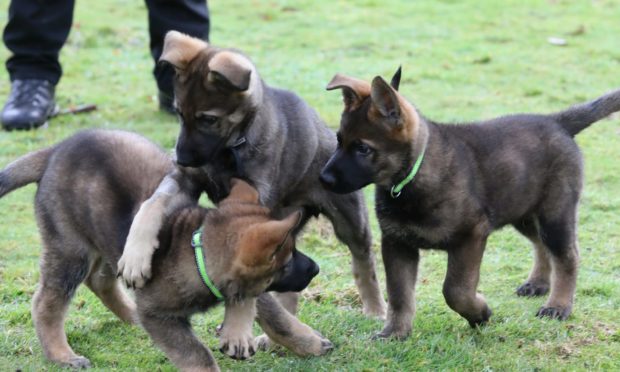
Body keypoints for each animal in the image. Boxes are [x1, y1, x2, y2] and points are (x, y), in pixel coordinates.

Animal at [0, 130, 320, 370]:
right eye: (289, 257)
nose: (316, 269)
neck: (198, 253)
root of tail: (55, 151)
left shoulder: (251, 287)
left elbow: (277, 317)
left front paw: (310, 343)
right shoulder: (160, 316)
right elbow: (196, 354)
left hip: (109, 240)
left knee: (101, 280)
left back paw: (130, 315)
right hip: (69, 247)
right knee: (48, 302)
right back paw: (61, 354)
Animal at [115, 32, 386, 352]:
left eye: (208, 119)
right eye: (179, 113)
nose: (180, 158)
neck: (228, 150)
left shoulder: (257, 195)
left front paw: (237, 322)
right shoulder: (185, 182)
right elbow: (152, 205)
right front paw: (135, 257)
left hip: (348, 217)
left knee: (363, 259)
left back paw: (375, 309)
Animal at [320, 68, 620, 338]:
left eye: (363, 149)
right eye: (338, 140)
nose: (322, 178)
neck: (411, 177)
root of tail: (557, 122)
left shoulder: (470, 236)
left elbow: (455, 290)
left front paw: (479, 313)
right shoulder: (397, 244)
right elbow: (399, 295)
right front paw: (395, 333)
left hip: (554, 212)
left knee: (567, 256)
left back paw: (558, 305)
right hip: (521, 210)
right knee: (540, 244)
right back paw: (538, 283)